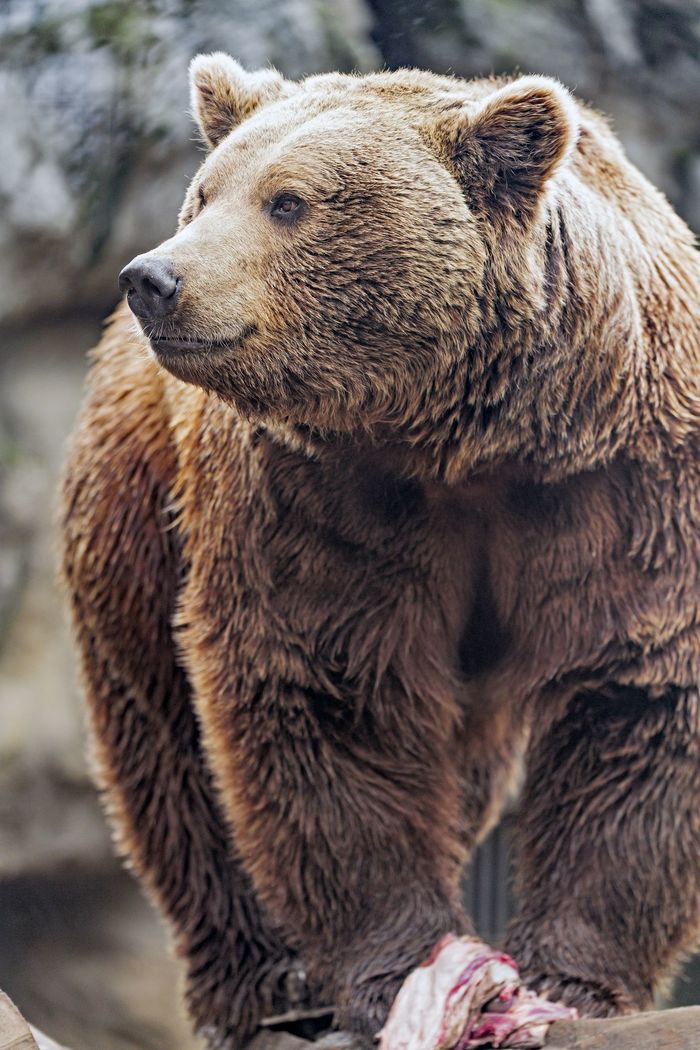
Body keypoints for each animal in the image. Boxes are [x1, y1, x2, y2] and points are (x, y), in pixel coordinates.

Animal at [60, 57, 700, 1050]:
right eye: (203, 195)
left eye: (288, 201)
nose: (153, 277)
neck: (461, 441)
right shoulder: (316, 491)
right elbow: (331, 689)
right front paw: (400, 971)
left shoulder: (621, 481)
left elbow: (634, 693)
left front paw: (573, 982)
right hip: (138, 509)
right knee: (167, 749)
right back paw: (265, 982)